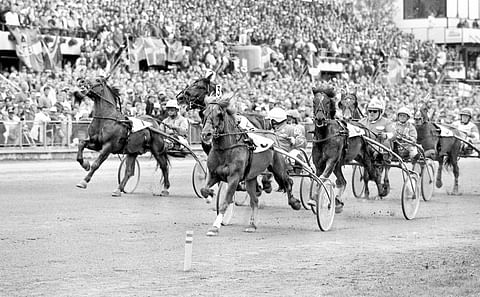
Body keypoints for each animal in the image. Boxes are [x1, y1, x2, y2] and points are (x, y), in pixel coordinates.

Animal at [199, 97, 300, 236]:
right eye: (204, 113)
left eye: (219, 114)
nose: (206, 134)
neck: (226, 149)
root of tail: (272, 133)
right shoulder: (214, 175)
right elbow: (203, 190)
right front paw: (210, 194)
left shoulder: (234, 178)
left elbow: (225, 202)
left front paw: (214, 227)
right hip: (250, 178)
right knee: (254, 200)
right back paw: (252, 225)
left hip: (278, 167)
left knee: (288, 181)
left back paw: (294, 203)